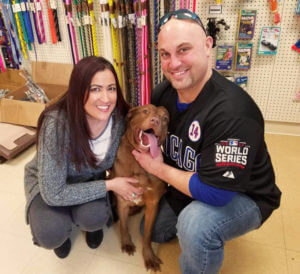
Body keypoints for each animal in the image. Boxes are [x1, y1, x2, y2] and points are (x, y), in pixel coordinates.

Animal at [111, 104, 170, 270]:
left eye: (165, 118)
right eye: (145, 111)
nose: (156, 120)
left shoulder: (153, 204)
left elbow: (148, 234)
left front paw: (149, 257)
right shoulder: (123, 198)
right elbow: (124, 225)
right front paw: (126, 244)